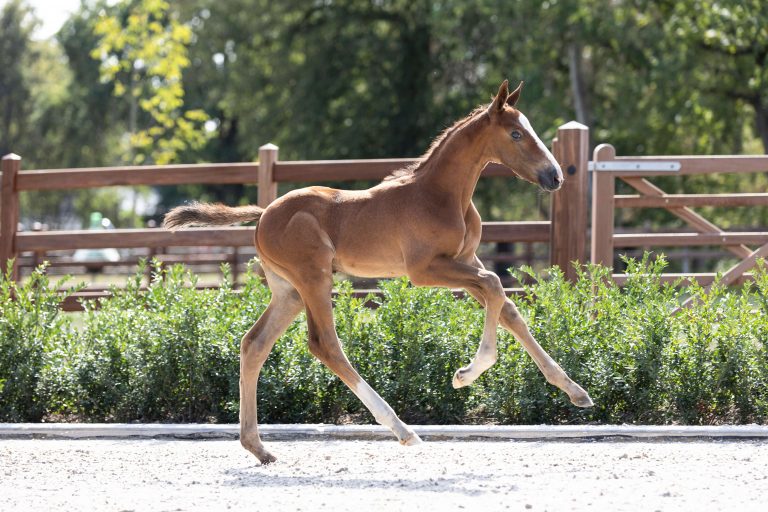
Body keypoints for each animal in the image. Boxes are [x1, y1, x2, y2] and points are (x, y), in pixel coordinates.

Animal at [164, 81, 592, 464]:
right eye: (516, 133)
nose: (555, 176)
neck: (440, 194)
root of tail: (264, 214)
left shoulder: (467, 261)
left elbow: (507, 307)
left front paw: (575, 391)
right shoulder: (426, 269)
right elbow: (495, 288)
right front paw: (467, 373)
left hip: (288, 291)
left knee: (254, 344)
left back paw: (260, 449)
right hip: (314, 278)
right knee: (325, 345)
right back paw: (403, 430)